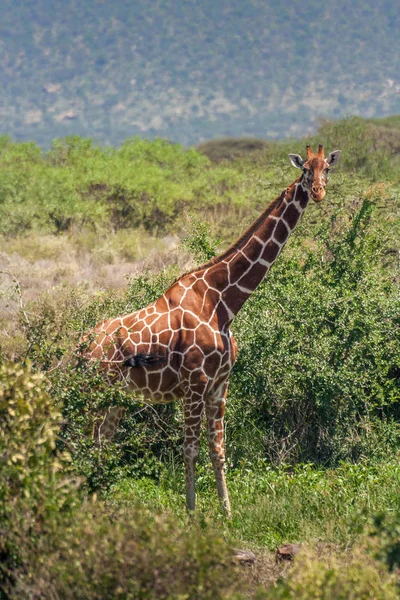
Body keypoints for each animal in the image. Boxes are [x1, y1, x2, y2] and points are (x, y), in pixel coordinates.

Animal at [84, 145, 340, 516]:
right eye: (306, 169)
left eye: (327, 169)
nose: (318, 192)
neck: (223, 303)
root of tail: (82, 344)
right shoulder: (194, 383)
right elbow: (190, 450)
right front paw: (192, 513)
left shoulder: (220, 385)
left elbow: (218, 450)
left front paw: (227, 512)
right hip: (96, 390)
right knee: (87, 440)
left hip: (117, 397)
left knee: (102, 442)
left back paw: (98, 503)